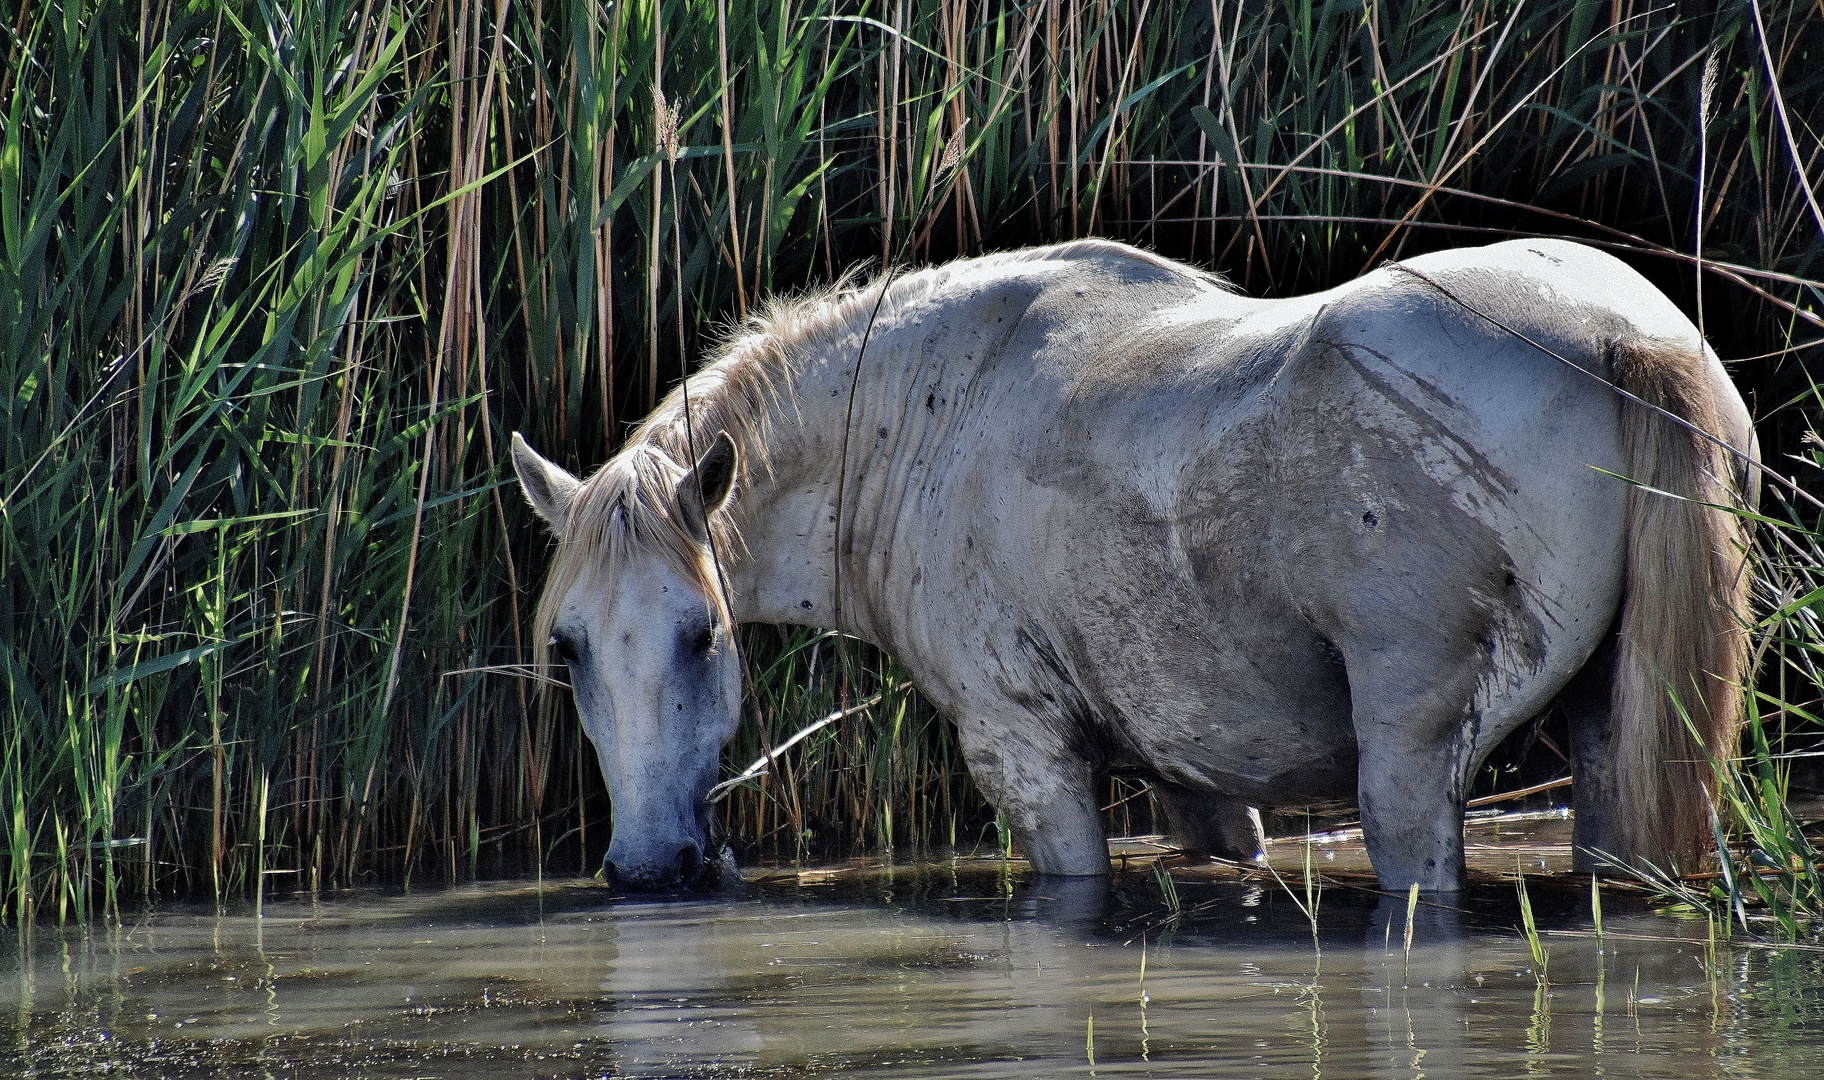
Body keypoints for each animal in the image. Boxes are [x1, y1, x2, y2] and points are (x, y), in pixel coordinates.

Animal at [510, 240, 1751, 890]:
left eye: (701, 634)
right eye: (567, 649)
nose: (647, 866)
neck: (924, 415)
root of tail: (1621, 332)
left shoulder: (1027, 755)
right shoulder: (1190, 777)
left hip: (1409, 760)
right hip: (1613, 736)